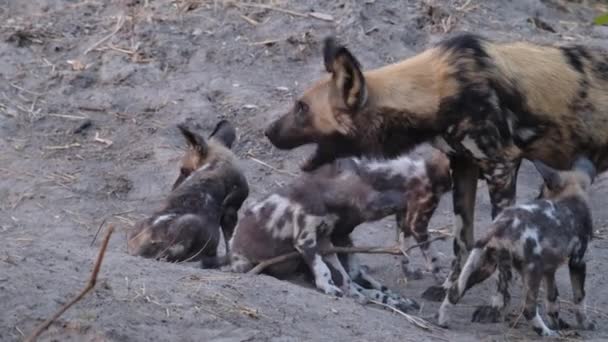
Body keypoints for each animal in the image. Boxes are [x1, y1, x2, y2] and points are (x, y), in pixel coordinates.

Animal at [127, 121, 248, 268]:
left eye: (184, 170)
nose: (173, 188)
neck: (217, 164)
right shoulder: (230, 212)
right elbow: (230, 242)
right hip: (190, 223)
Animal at [224, 151, 452, 312]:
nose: (406, 202)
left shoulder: (325, 242)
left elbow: (342, 275)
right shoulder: (307, 241)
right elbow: (326, 271)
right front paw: (330, 288)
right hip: (245, 263)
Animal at [264, 34, 608, 310]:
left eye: (302, 109)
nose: (267, 131)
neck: (443, 91)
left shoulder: (502, 168)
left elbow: (500, 248)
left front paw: (496, 305)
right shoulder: (465, 167)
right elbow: (461, 240)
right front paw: (450, 288)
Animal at [440, 157, 596, 336]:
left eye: (541, 190)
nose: (537, 197)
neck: (571, 197)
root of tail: (499, 226)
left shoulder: (549, 270)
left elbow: (552, 300)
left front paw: (556, 323)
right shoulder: (578, 262)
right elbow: (580, 298)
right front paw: (585, 323)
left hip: (485, 265)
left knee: (454, 291)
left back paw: (442, 321)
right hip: (533, 270)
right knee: (528, 308)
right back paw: (546, 333)